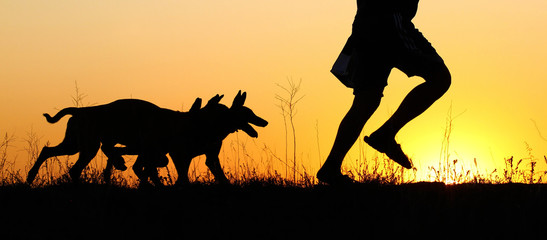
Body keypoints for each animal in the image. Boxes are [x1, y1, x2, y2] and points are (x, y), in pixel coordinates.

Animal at [25, 91, 270, 187]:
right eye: (247, 113)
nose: (264, 122)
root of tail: (81, 110)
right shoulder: (174, 155)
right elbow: (174, 176)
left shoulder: (198, 157)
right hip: (86, 147)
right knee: (76, 165)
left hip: (76, 145)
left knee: (50, 152)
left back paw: (30, 177)